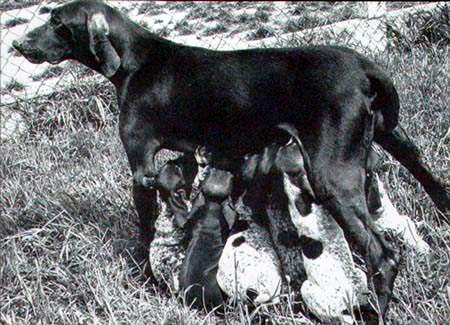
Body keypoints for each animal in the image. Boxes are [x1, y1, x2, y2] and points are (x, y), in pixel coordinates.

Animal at [12, 0, 448, 318]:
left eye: (56, 20)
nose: (17, 46)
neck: (136, 61)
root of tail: (363, 65)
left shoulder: (141, 167)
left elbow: (146, 229)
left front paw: (144, 279)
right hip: (393, 136)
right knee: (433, 182)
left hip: (331, 176)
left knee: (383, 256)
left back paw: (377, 310)